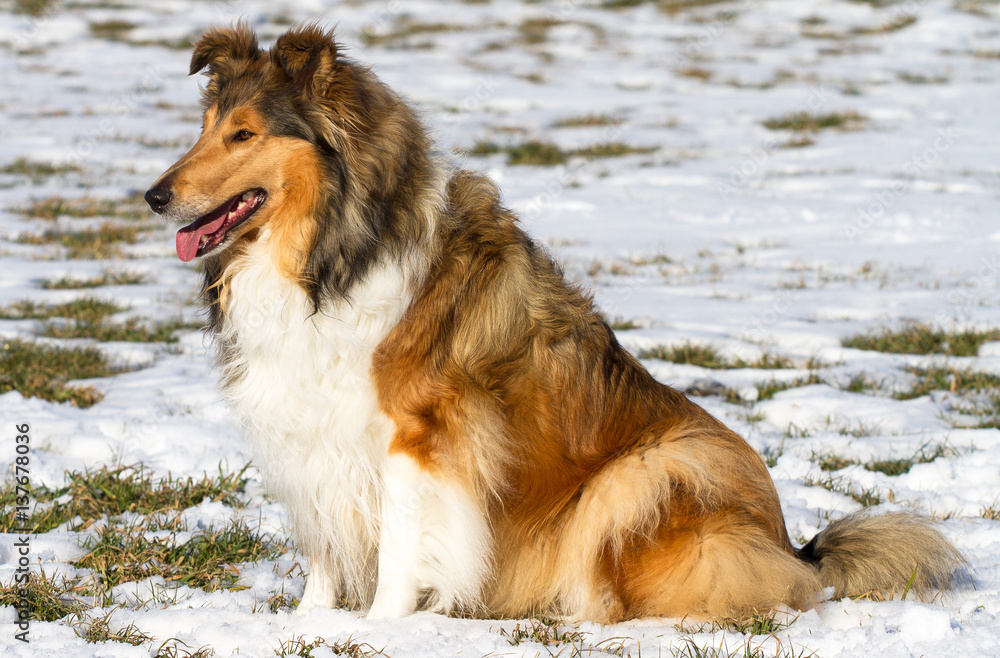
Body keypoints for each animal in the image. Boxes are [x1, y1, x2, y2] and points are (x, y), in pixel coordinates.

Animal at [145, 24, 964, 620]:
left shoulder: (417, 433)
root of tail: (793, 546)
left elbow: (404, 545)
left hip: (650, 470)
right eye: (205, 127)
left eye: (245, 135)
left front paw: (381, 629)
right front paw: (309, 623)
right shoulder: (311, 427)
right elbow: (325, 538)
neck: (328, 255)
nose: (154, 196)